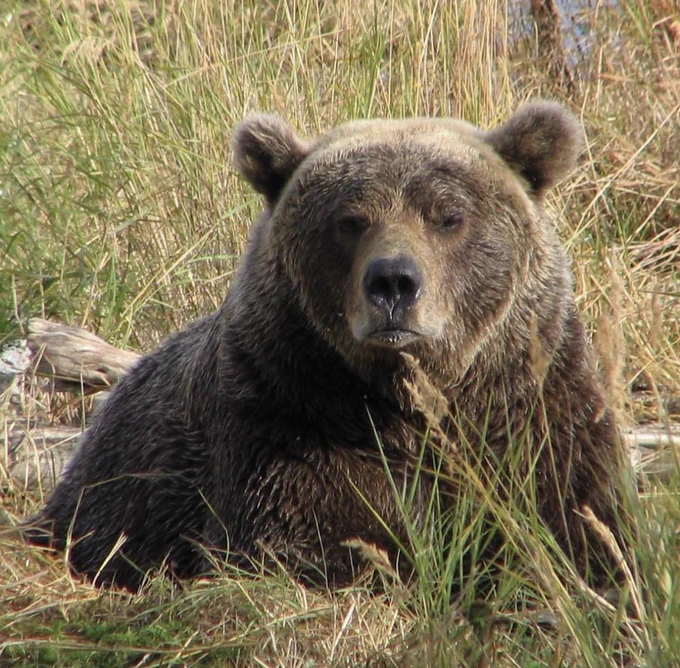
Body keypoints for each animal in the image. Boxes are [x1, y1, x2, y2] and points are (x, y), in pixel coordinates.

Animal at [24, 100, 633, 592]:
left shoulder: (536, 413)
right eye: (350, 220)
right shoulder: (290, 418)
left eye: (448, 216)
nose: (393, 282)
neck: (407, 401)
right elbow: (312, 539)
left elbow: (580, 522)